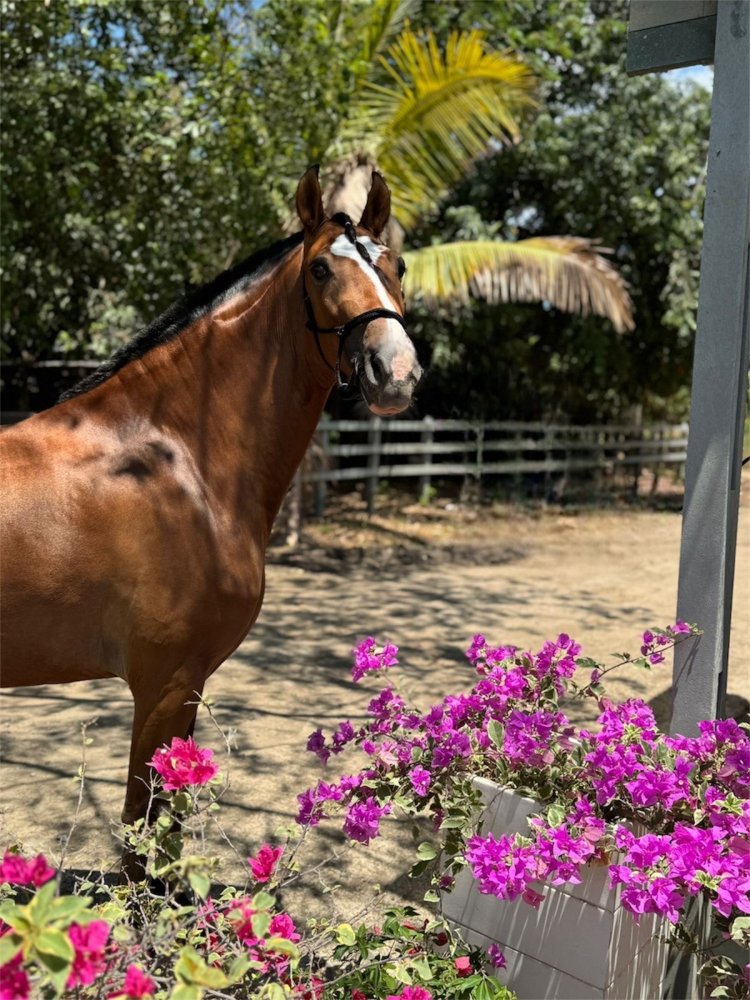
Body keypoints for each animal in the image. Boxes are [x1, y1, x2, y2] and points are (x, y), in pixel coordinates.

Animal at [0, 167, 422, 872]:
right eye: (319, 271)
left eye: (398, 265)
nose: (394, 372)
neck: (171, 458)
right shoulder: (164, 684)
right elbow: (141, 847)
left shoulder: (187, 685)